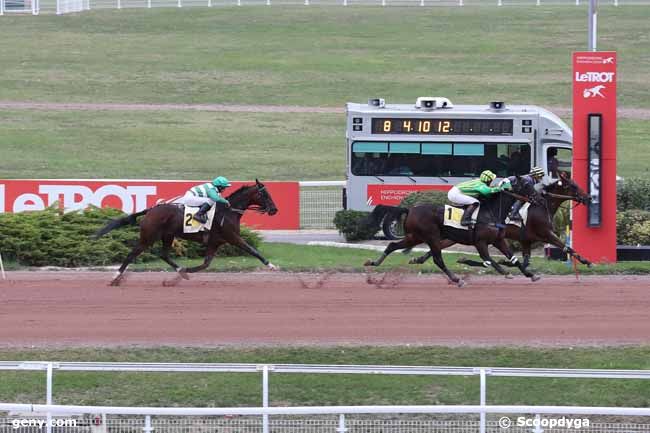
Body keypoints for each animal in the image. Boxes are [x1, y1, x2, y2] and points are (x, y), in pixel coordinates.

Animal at [95, 178, 278, 284]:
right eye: (265, 195)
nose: (274, 210)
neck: (228, 211)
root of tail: (151, 210)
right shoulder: (233, 237)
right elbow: (252, 250)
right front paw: (272, 266)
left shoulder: (215, 242)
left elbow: (205, 264)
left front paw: (183, 274)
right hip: (148, 236)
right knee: (132, 254)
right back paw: (115, 277)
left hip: (167, 235)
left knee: (164, 254)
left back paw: (180, 271)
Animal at [360, 186, 536, 286]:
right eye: (527, 185)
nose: (537, 197)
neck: (490, 212)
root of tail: (410, 209)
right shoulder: (480, 242)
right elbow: (487, 260)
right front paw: (506, 272)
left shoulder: (498, 240)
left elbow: (513, 258)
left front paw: (531, 275)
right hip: (431, 236)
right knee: (438, 259)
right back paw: (456, 279)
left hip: (416, 236)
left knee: (392, 246)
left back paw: (374, 262)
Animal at [410, 171, 592, 266]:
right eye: (573, 186)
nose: (588, 197)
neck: (542, 206)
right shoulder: (545, 234)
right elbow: (566, 247)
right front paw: (586, 261)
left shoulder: (527, 240)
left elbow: (524, 261)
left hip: (456, 236)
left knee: (439, 245)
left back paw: (419, 259)